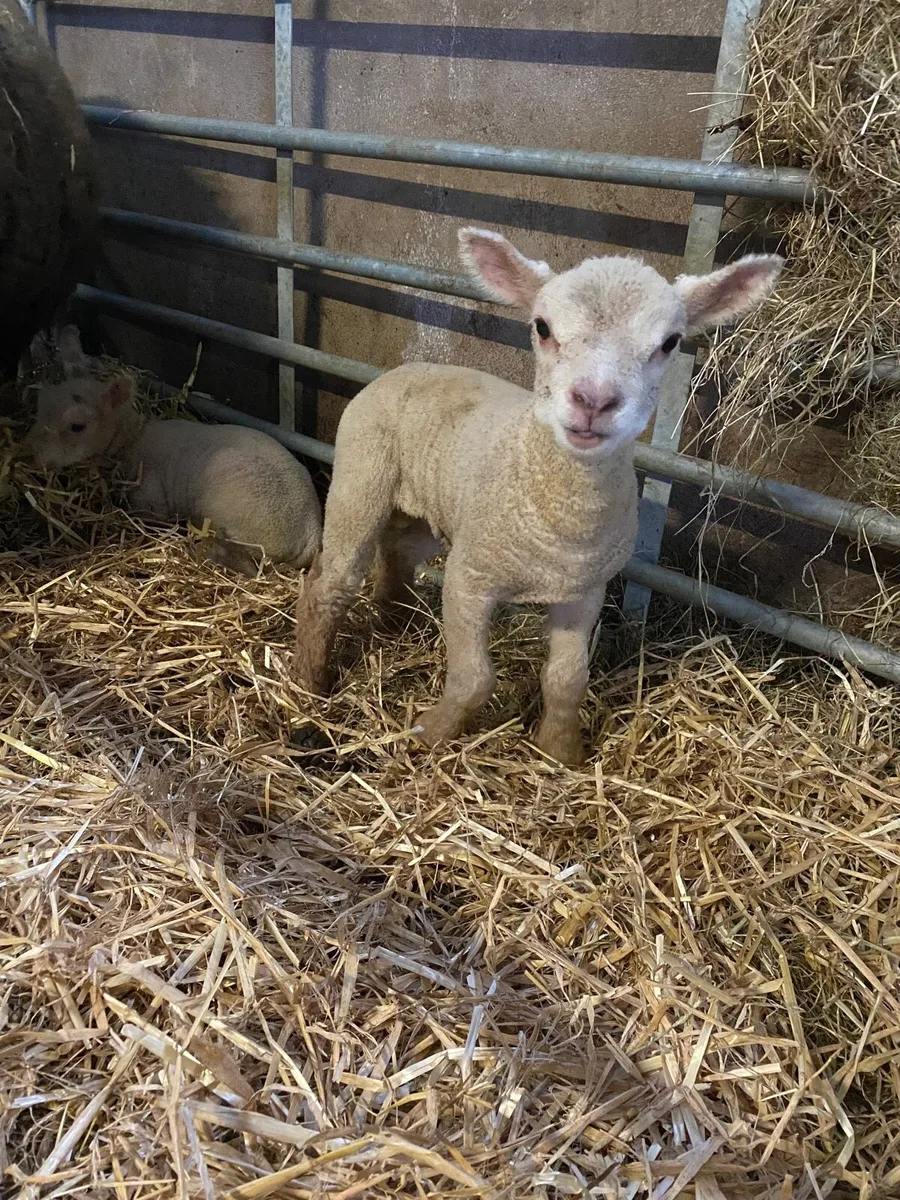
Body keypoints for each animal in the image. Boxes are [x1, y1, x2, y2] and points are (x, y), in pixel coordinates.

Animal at [26, 332, 322, 575]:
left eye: (77, 426)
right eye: (39, 405)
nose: (34, 455)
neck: (132, 437)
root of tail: (311, 533)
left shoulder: (150, 500)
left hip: (232, 520)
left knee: (246, 565)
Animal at [293, 228, 783, 764]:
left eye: (670, 342)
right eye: (543, 327)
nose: (593, 401)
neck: (557, 514)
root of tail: (406, 368)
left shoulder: (584, 592)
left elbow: (567, 680)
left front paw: (561, 752)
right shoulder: (469, 579)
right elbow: (475, 678)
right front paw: (431, 734)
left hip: (431, 507)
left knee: (398, 550)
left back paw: (391, 622)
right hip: (362, 475)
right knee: (333, 582)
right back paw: (311, 681)